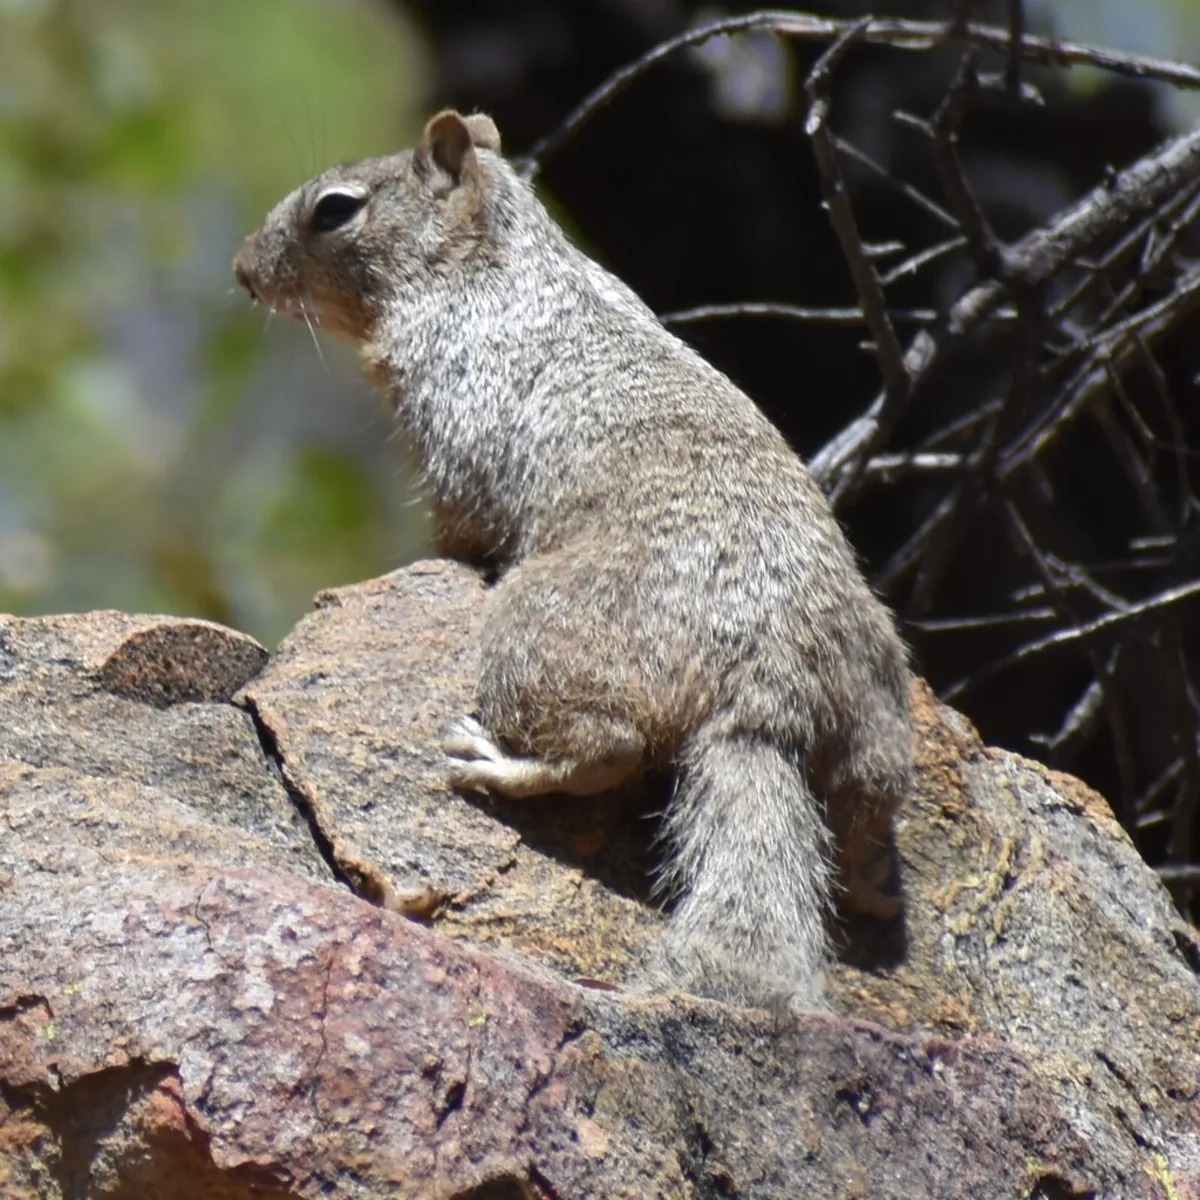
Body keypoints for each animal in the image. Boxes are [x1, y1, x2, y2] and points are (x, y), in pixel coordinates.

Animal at [233, 109, 913, 1012]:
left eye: (335, 210)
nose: (243, 271)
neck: (497, 263)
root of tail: (773, 697)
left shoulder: (455, 427)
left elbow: (462, 524)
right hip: (878, 724)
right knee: (862, 816)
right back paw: (872, 884)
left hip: (537, 628)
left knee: (609, 749)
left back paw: (495, 764)